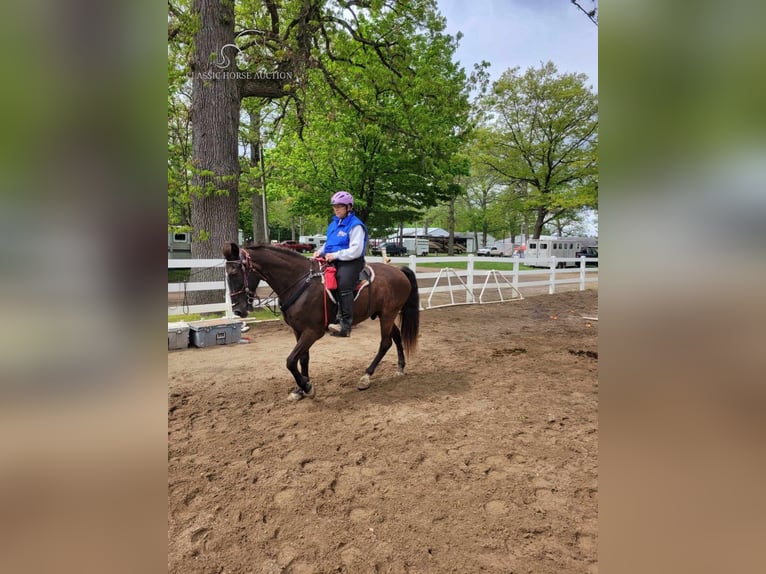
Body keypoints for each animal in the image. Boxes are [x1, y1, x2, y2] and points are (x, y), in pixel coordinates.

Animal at [225, 242, 424, 400]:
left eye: (234, 273)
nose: (238, 310)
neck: (300, 283)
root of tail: (399, 270)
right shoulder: (299, 330)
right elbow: (303, 358)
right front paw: (300, 389)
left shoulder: (313, 332)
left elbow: (290, 360)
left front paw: (307, 386)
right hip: (384, 315)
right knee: (396, 337)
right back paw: (400, 368)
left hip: (388, 315)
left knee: (385, 343)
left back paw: (366, 377)